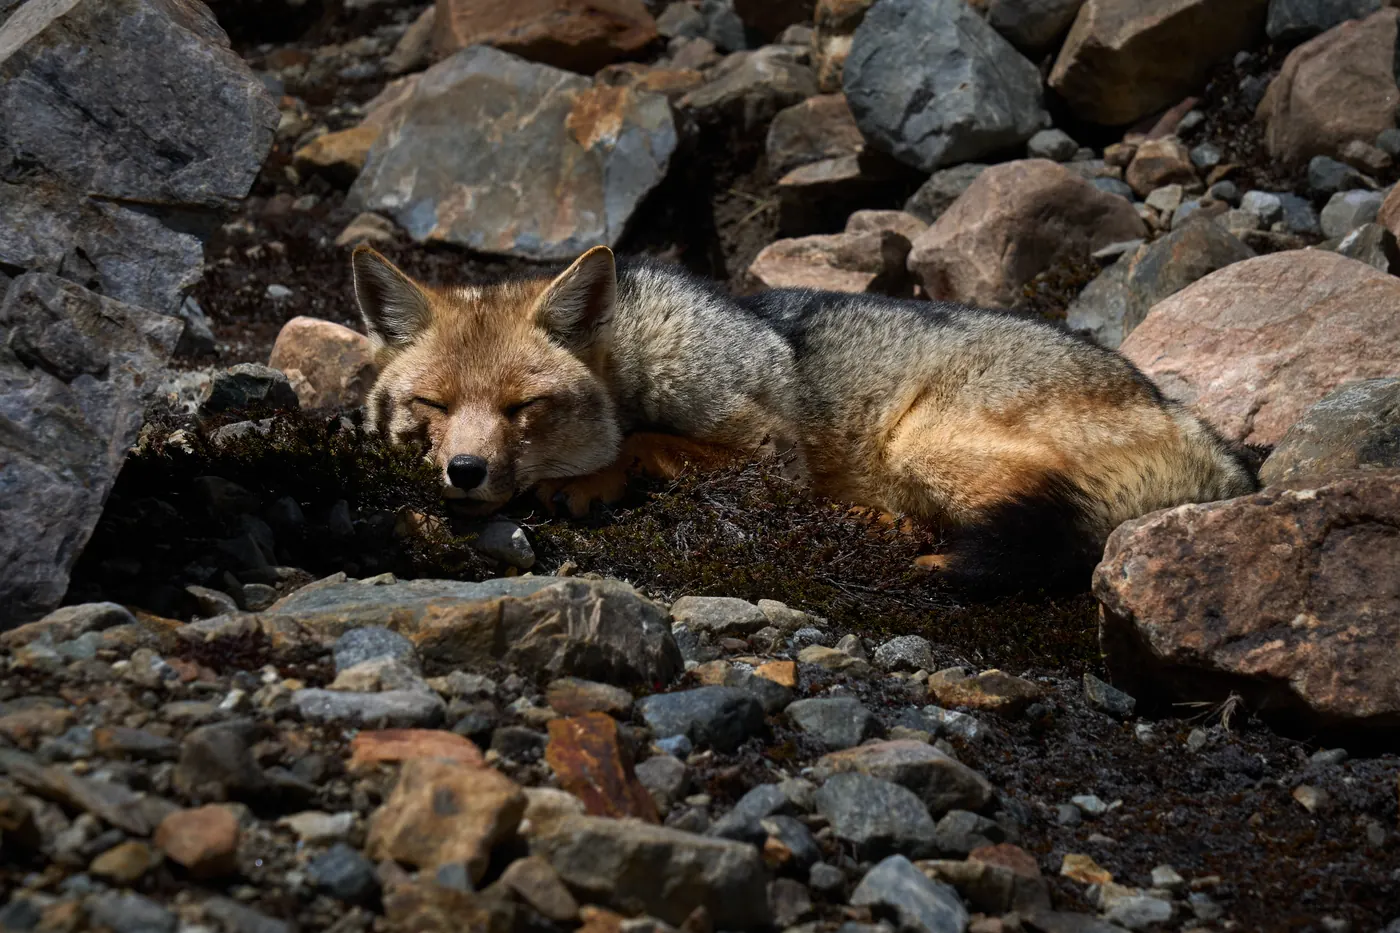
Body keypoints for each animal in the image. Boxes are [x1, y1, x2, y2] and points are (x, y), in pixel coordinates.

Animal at [350, 243, 1257, 591]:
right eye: (431, 406)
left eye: (524, 408)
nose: (465, 473)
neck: (640, 354)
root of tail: (1212, 445)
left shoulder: (768, 453)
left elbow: (644, 438)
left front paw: (593, 478)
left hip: (921, 435)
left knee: (1048, 537)